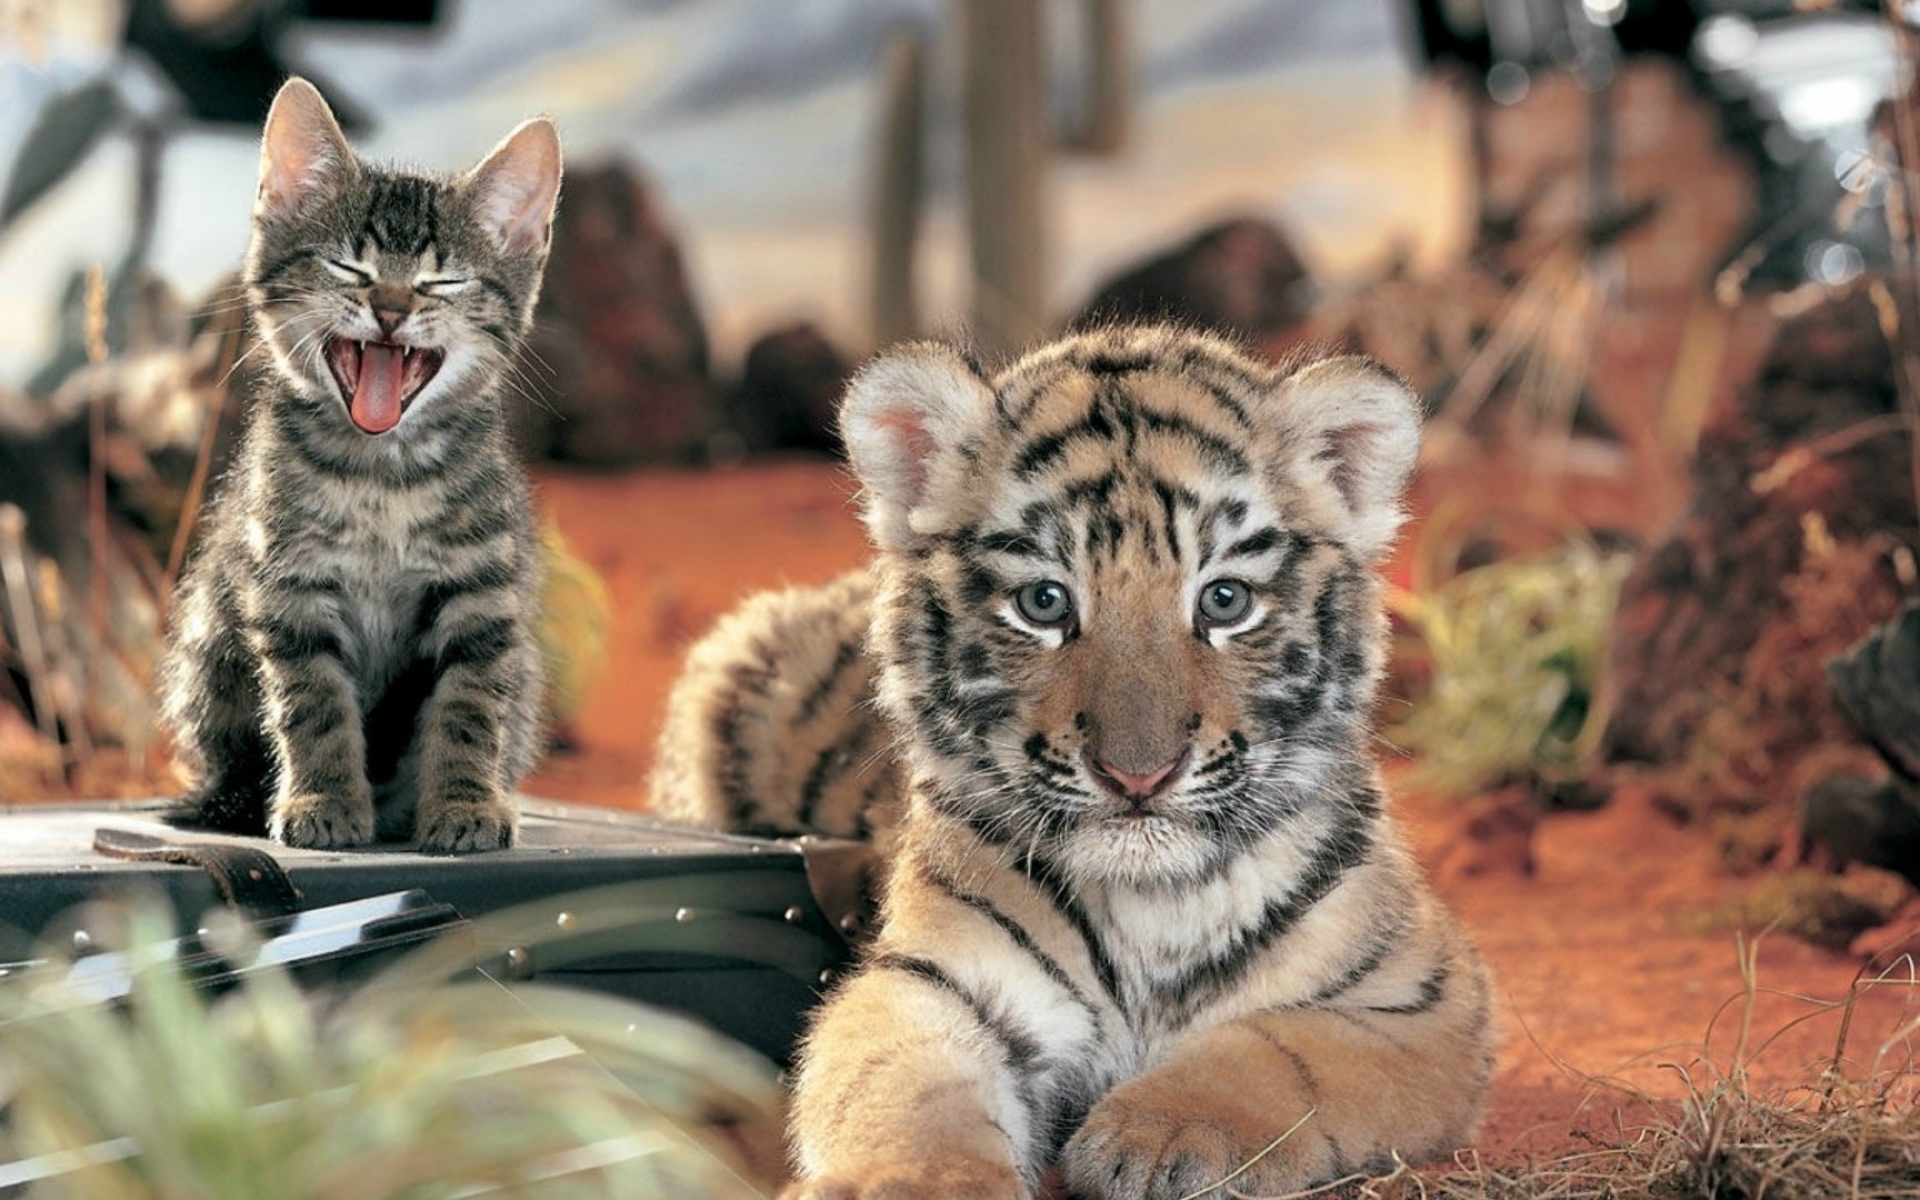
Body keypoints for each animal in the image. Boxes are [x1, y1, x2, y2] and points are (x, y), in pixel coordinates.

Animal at [650, 325, 1495, 1198]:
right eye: (1044, 603)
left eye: (1224, 601)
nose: (1138, 774)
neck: (1154, 907)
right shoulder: (930, 981)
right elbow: (908, 1089)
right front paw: (926, 1184)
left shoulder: (1420, 1001)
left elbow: (1282, 1053)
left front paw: (1158, 1133)